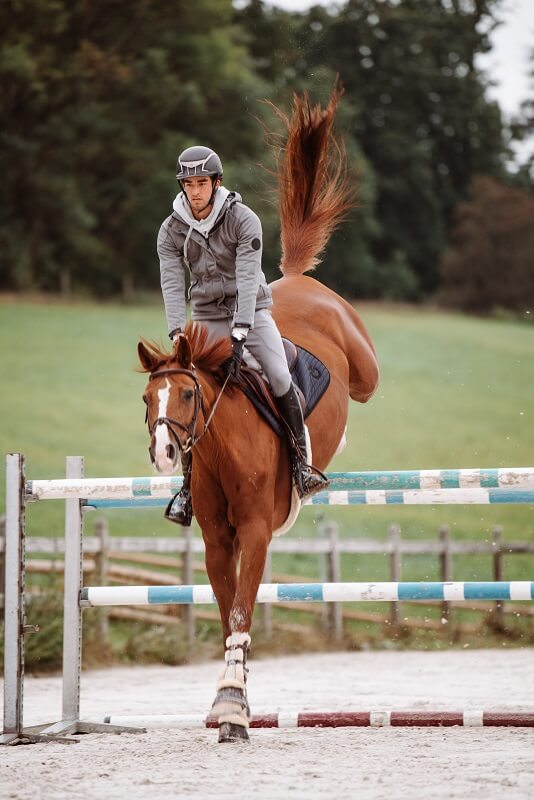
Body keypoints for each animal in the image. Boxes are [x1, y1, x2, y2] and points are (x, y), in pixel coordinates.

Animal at [138, 90, 382, 748]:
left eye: (188, 395)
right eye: (149, 399)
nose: (166, 455)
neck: (223, 448)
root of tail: (294, 279)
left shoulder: (254, 532)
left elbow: (244, 612)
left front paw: (231, 706)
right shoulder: (218, 538)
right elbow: (229, 616)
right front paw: (234, 701)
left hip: (363, 365)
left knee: (363, 385)